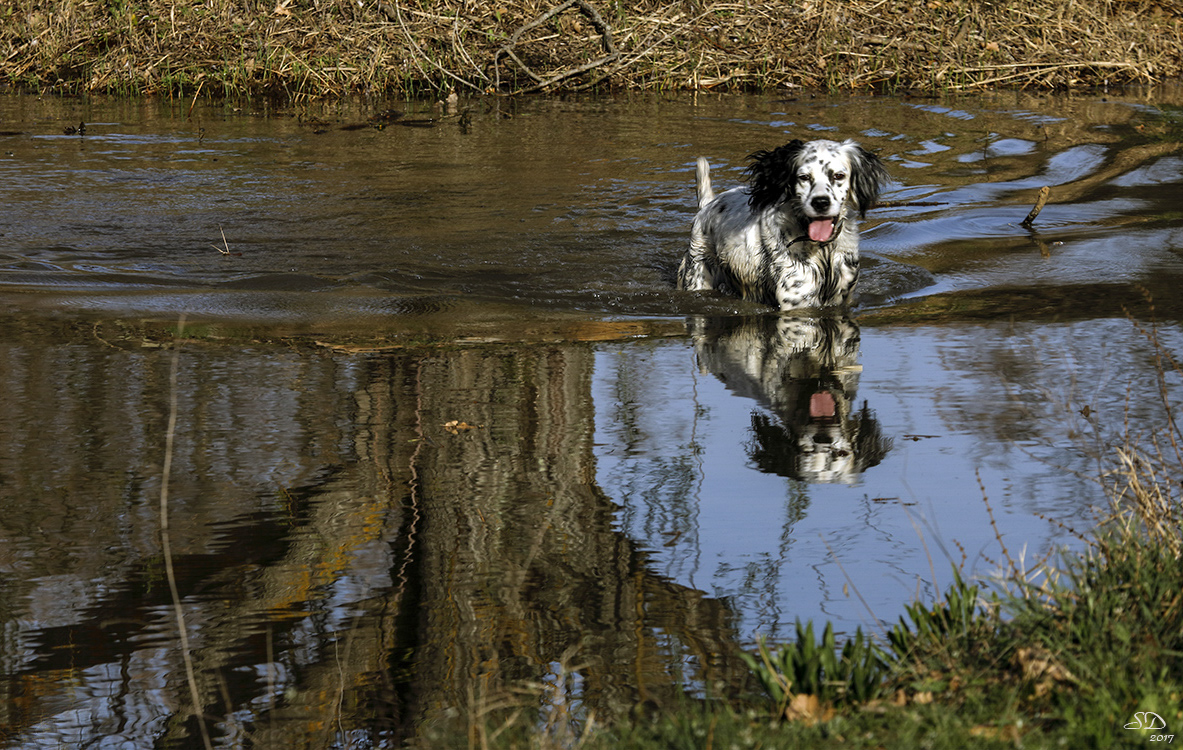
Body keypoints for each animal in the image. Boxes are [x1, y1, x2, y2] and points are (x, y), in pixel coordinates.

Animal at [676, 138, 889, 307]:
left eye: (838, 175)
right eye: (804, 177)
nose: (820, 202)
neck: (823, 250)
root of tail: (708, 205)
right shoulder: (797, 298)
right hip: (697, 274)